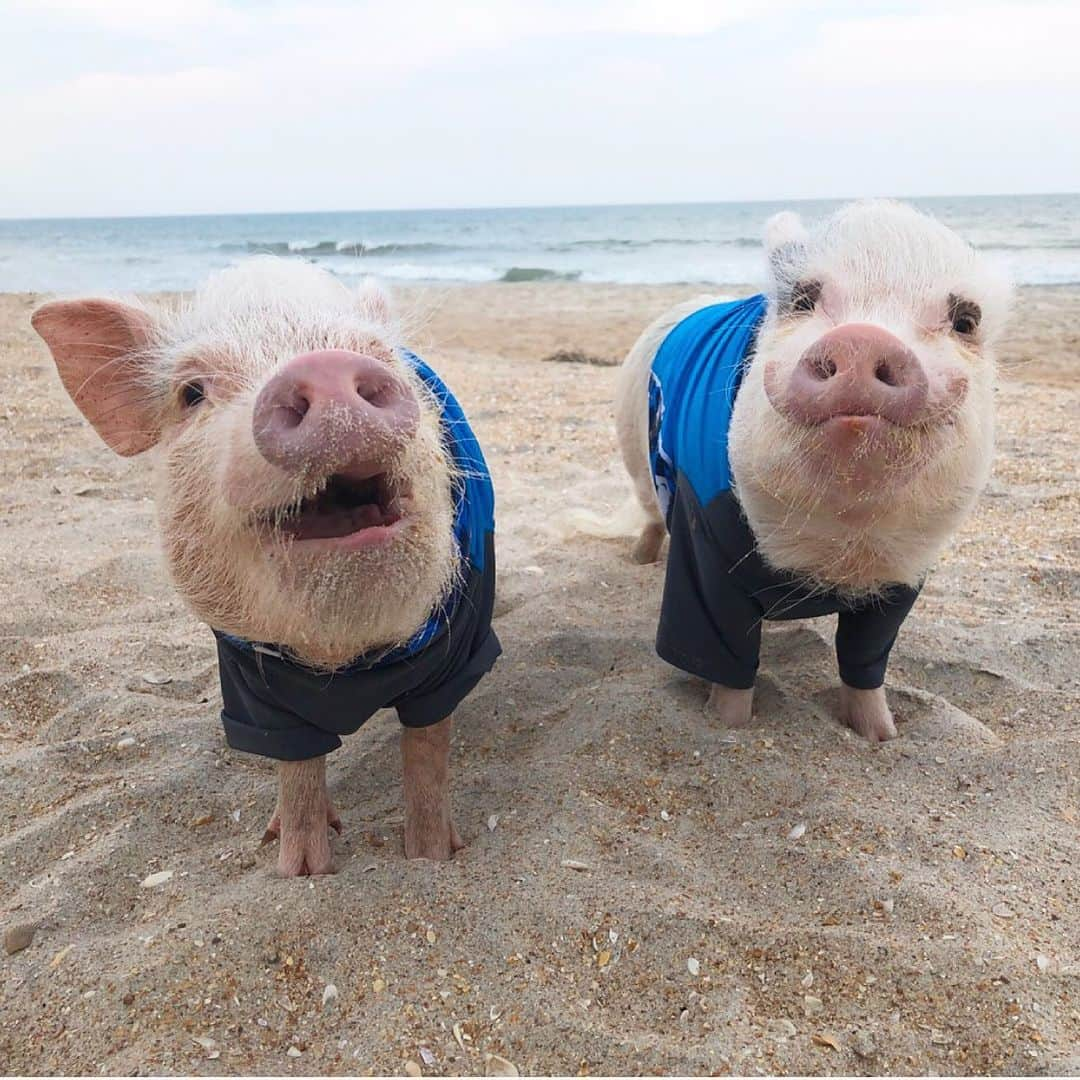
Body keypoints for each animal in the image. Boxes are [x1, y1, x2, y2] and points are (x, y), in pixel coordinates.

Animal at [33, 261, 501, 876]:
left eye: (379, 353)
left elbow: (428, 751)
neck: (347, 658)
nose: (323, 367)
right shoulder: (252, 691)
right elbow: (297, 769)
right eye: (191, 392)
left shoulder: (452, 657)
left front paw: (432, 857)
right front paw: (301, 871)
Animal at [617, 200, 1010, 743]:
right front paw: (726, 727)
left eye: (966, 320)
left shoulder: (901, 578)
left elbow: (866, 664)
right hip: (634, 454)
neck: (836, 547)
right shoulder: (705, 546)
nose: (863, 340)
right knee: (651, 514)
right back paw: (637, 561)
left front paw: (882, 737)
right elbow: (722, 659)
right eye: (804, 298)